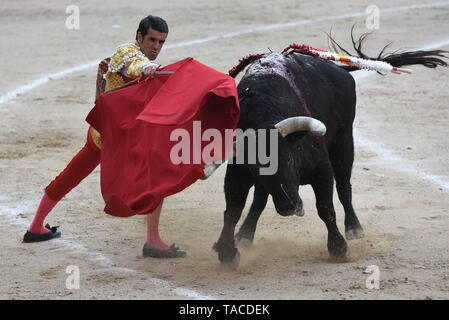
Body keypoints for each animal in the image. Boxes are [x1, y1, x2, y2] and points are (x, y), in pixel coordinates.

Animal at [211, 35, 448, 266]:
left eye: (289, 160)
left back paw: (354, 228)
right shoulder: (238, 173)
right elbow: (232, 210)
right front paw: (227, 251)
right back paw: (245, 234)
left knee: (344, 185)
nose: (289, 207)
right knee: (260, 197)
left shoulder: (322, 168)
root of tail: (337, 69)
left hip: (344, 142)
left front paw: (339, 248)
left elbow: (326, 207)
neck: (264, 115)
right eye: (254, 169)